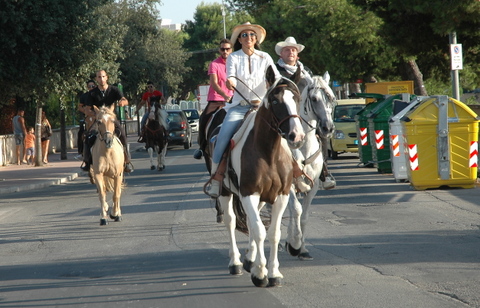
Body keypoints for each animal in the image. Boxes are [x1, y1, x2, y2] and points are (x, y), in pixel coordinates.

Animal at [284, 72, 336, 260]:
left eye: (332, 98)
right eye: (314, 99)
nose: (328, 128)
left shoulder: (312, 186)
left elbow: (304, 216)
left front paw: (302, 248)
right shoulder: (289, 185)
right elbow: (296, 210)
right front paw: (295, 244)